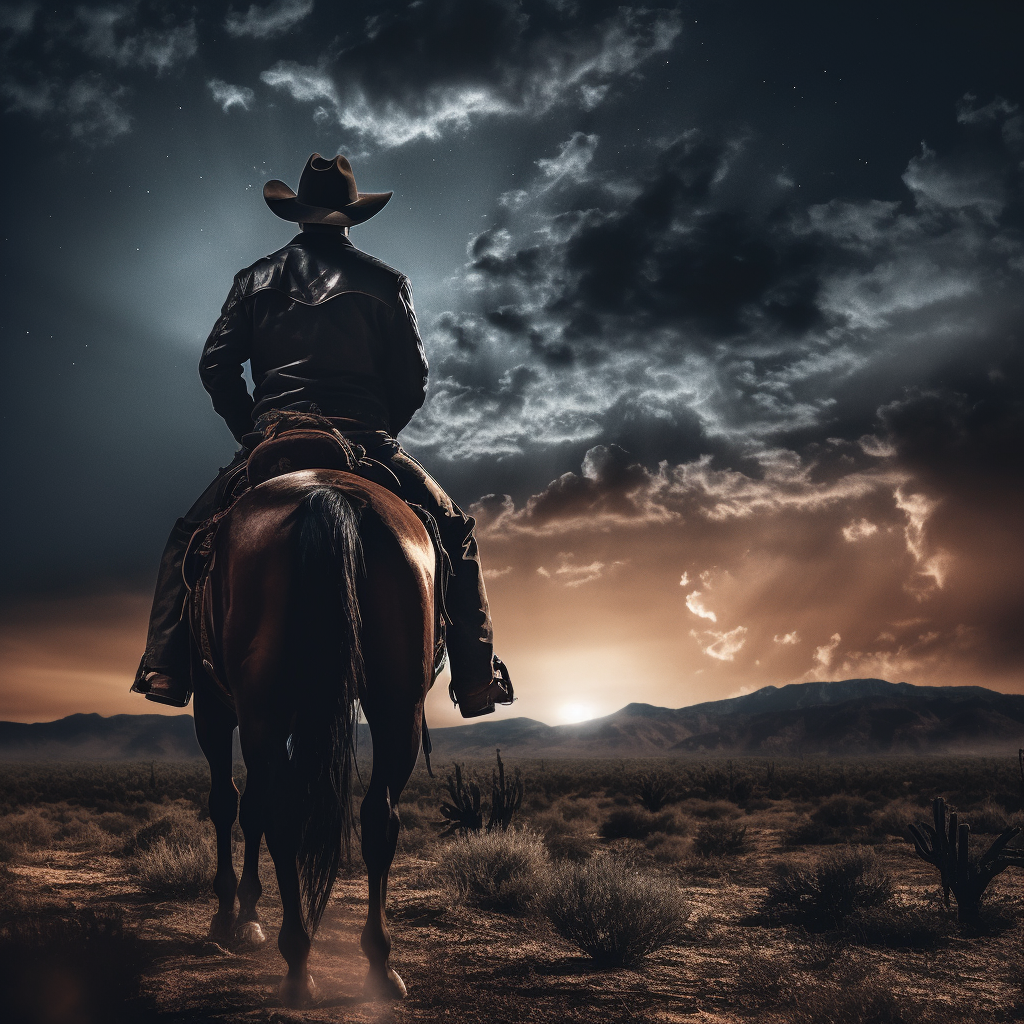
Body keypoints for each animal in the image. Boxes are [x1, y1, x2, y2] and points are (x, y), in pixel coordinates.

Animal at [190, 466, 434, 1007]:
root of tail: (328, 494)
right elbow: (250, 805)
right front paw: (246, 915)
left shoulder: (215, 709)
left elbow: (228, 802)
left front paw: (231, 914)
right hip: (399, 708)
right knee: (378, 818)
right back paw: (380, 967)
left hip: (259, 707)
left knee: (280, 814)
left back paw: (298, 965)